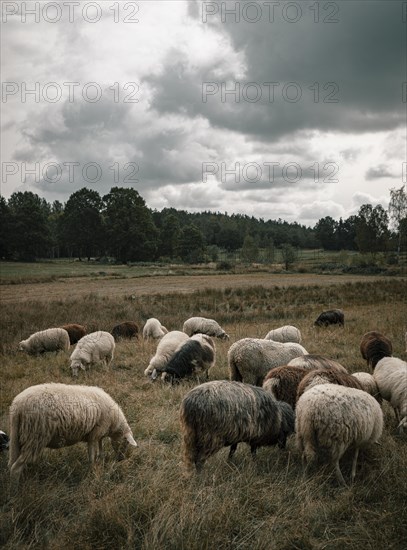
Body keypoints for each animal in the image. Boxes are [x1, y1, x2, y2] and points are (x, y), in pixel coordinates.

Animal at [7, 384, 139, 484]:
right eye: (126, 443)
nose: (121, 459)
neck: (114, 423)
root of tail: (17, 406)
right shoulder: (94, 434)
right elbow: (92, 455)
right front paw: (92, 470)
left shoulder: (98, 434)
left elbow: (100, 448)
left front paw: (100, 462)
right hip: (35, 436)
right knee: (15, 468)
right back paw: (15, 490)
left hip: (19, 438)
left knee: (14, 463)